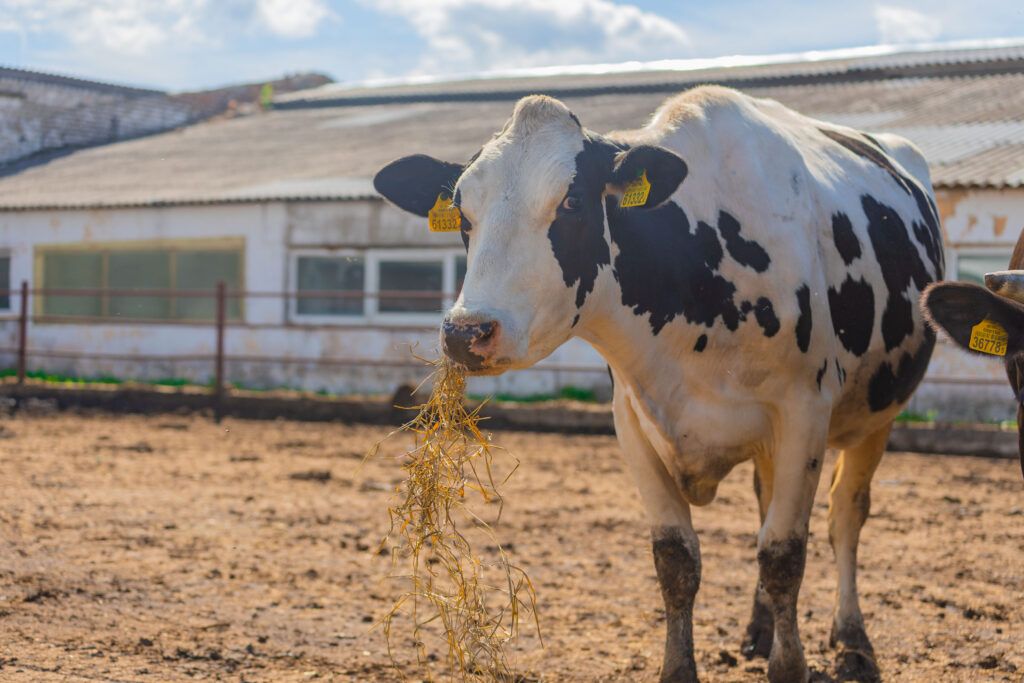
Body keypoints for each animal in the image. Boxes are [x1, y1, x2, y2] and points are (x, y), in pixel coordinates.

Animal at [374, 85, 944, 682]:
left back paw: (853, 640)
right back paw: (760, 630)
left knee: (845, 516)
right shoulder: (633, 419)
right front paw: (681, 666)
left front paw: (791, 665)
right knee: (766, 507)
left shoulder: (804, 412)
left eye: (572, 202)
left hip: (879, 412)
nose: (467, 332)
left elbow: (784, 554)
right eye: (463, 210)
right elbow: (676, 560)